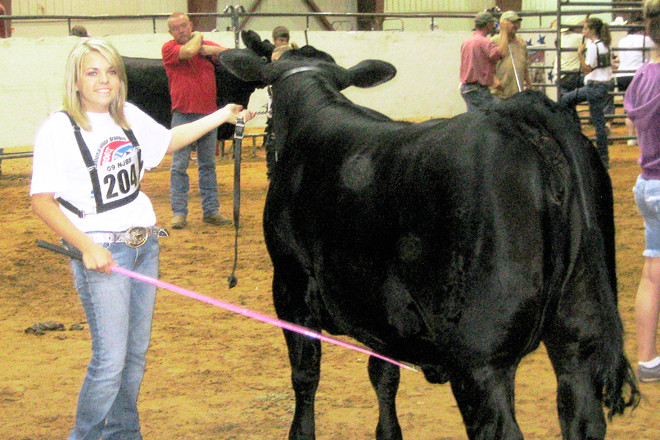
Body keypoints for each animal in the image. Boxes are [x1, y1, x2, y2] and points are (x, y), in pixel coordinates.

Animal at [217, 46, 640, 440]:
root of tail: (520, 121)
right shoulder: (380, 312)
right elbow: (384, 375)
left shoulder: (290, 286)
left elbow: (305, 374)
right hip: (579, 332)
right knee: (582, 416)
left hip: (481, 355)